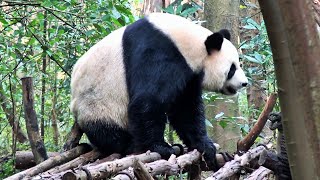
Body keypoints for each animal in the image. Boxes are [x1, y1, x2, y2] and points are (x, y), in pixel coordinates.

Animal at [71, 13, 249, 170]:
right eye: (232, 68)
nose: (244, 83)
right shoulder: (157, 53)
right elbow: (148, 100)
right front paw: (161, 147)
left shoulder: (188, 75)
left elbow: (186, 108)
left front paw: (205, 146)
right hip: (98, 104)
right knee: (107, 130)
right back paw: (130, 145)